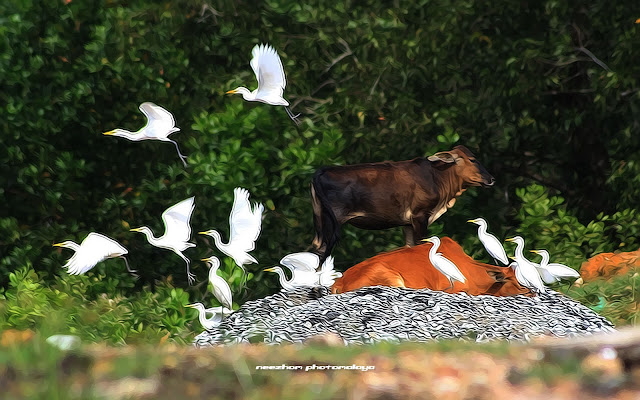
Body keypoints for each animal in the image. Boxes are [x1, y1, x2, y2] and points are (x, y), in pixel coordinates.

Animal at [310, 145, 496, 264]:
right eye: (472, 159)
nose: (491, 179)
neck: (437, 177)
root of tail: (323, 171)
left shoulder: (407, 223)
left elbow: (410, 247)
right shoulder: (420, 216)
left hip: (320, 220)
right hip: (333, 221)